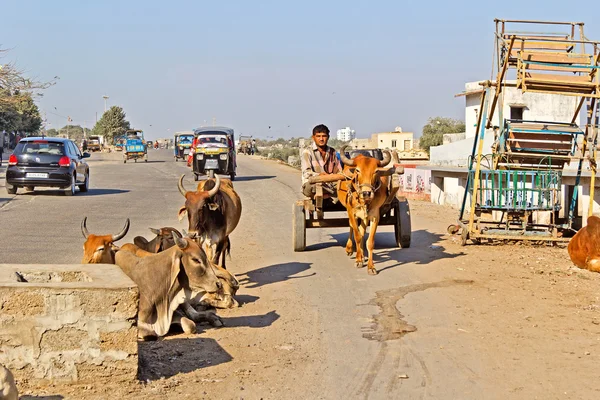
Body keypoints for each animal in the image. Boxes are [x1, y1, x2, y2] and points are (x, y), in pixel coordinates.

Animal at [340, 147, 396, 276]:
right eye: (357, 170)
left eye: (376, 171)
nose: (366, 193)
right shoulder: (352, 212)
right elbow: (357, 237)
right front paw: (358, 260)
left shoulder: (375, 216)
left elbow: (369, 241)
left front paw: (371, 266)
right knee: (352, 227)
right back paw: (350, 249)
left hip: (364, 217)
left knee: (362, 230)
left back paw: (362, 255)